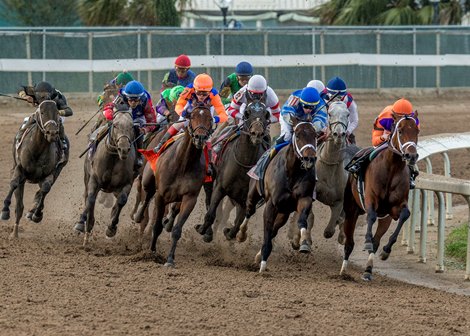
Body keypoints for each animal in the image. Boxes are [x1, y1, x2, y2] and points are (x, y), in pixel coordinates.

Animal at [1, 100, 68, 239]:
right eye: (42, 112)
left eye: (57, 112)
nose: (52, 133)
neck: (37, 149)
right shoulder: (19, 169)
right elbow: (14, 185)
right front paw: (5, 211)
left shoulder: (50, 173)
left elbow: (45, 189)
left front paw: (37, 214)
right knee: (19, 203)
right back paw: (15, 231)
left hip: (58, 170)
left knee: (41, 192)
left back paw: (33, 212)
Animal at [149, 106, 213, 266]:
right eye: (192, 116)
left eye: (210, 118)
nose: (200, 137)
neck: (183, 163)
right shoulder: (160, 195)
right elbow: (156, 226)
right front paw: (152, 252)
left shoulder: (189, 198)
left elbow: (177, 230)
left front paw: (170, 259)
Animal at [241, 119, 318, 272]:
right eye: (298, 135)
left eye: (315, 135)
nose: (309, 158)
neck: (292, 173)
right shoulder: (272, 204)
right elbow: (267, 230)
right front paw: (263, 264)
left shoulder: (304, 198)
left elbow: (302, 220)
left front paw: (304, 241)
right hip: (254, 193)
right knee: (249, 211)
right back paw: (241, 234)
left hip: (284, 212)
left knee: (275, 229)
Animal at [340, 113, 420, 280]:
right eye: (400, 131)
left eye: (417, 131)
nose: (411, 156)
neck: (392, 168)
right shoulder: (371, 199)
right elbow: (370, 216)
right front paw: (366, 241)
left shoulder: (395, 208)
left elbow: (405, 214)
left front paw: (386, 251)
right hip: (351, 210)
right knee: (349, 243)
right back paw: (343, 271)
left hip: (385, 218)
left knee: (376, 241)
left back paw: (368, 270)